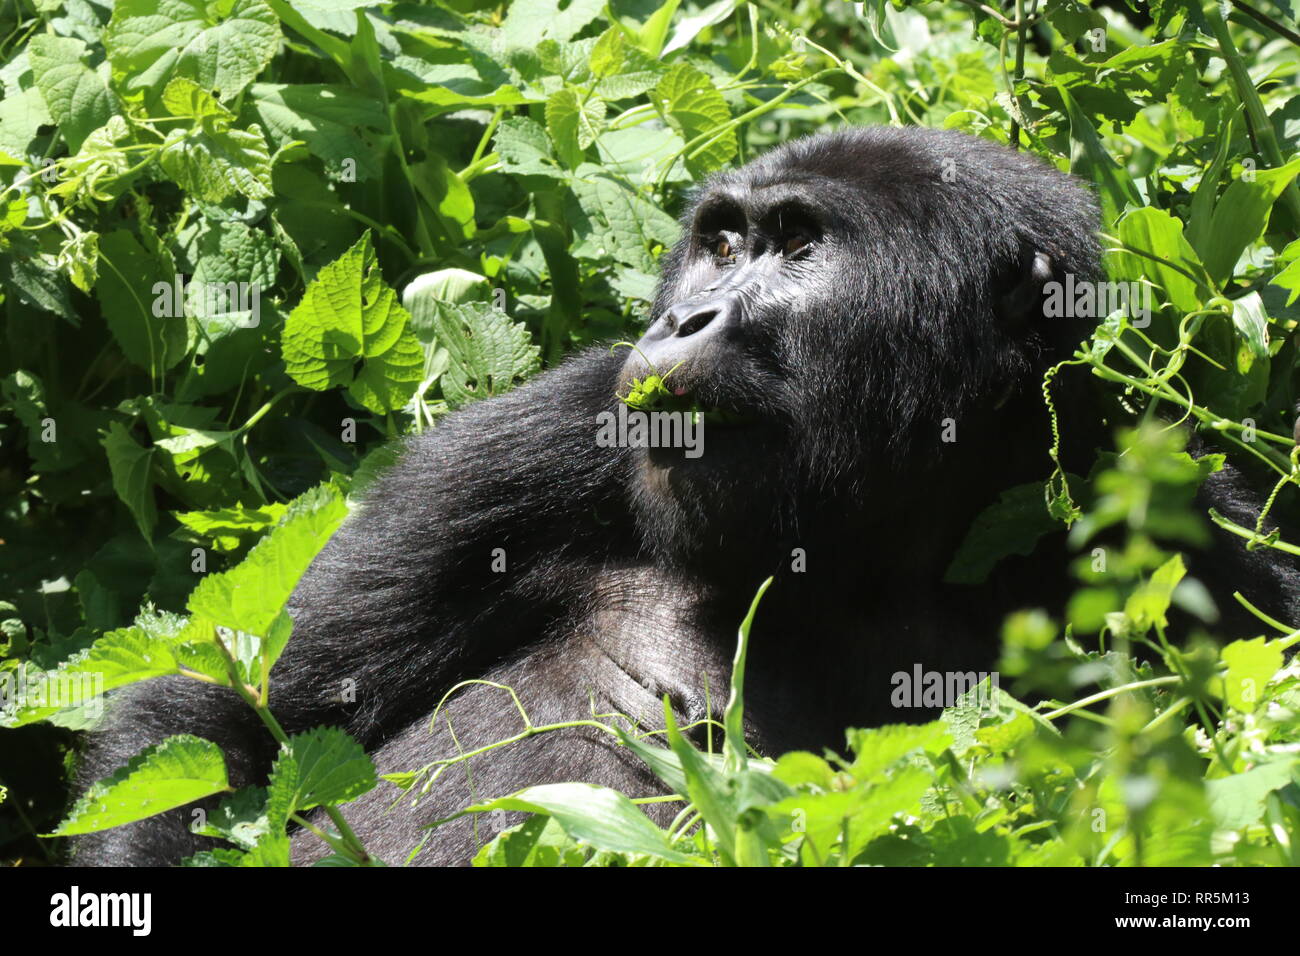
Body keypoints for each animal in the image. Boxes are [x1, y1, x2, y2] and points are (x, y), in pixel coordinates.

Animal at [73, 127, 1300, 868]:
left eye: (799, 244)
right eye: (721, 241)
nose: (684, 319)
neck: (880, 534)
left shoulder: (1193, 525)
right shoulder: (547, 436)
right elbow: (228, 723)